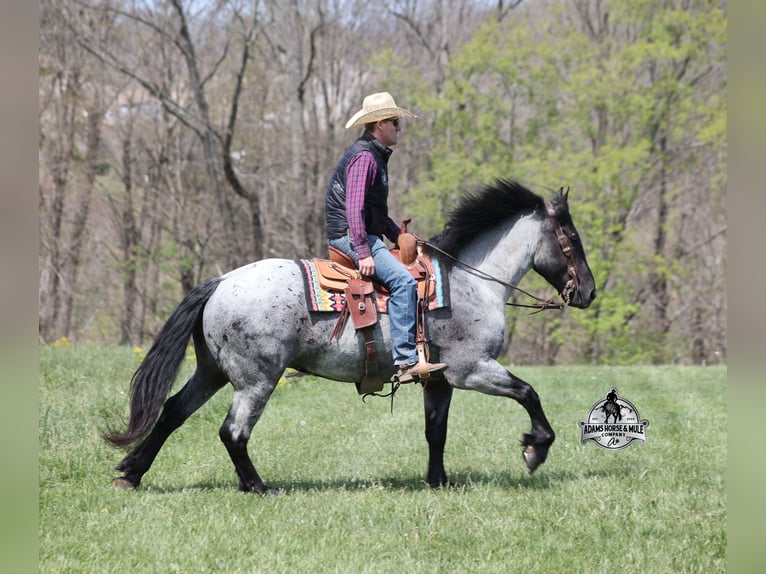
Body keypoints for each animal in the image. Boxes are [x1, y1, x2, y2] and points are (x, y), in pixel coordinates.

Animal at [104, 179, 597, 494]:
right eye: (571, 236)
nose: (589, 291)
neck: (468, 282)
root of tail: (221, 281)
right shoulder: (472, 369)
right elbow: (529, 393)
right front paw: (535, 448)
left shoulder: (438, 380)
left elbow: (435, 432)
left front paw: (438, 482)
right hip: (256, 379)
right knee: (233, 432)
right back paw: (257, 486)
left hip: (212, 372)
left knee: (172, 412)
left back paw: (131, 473)